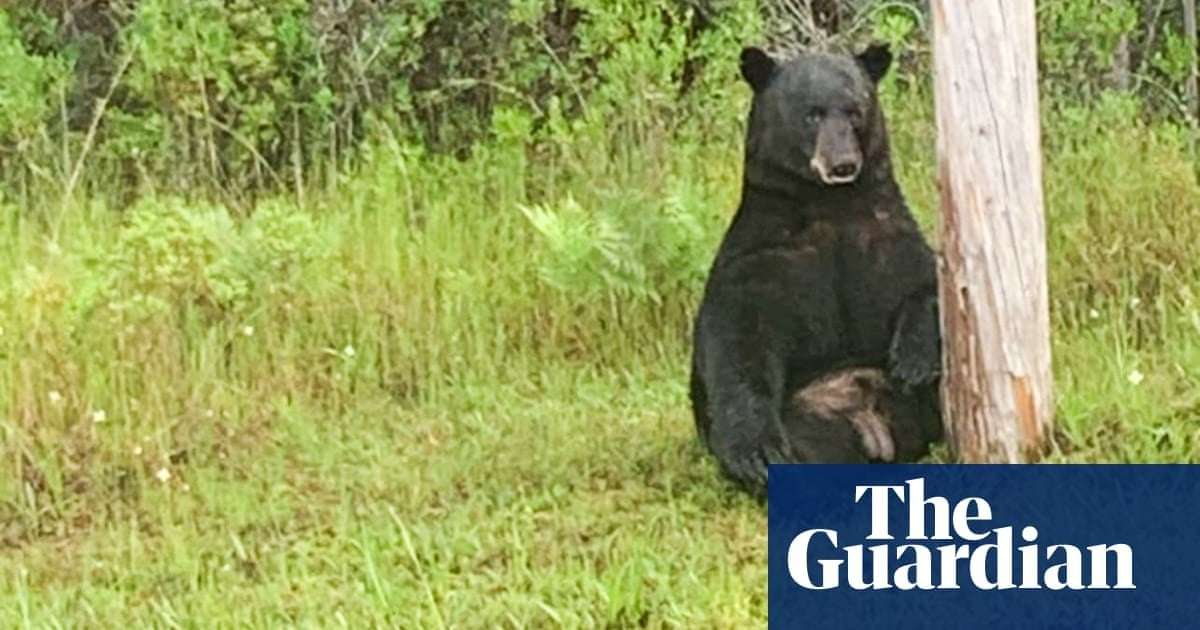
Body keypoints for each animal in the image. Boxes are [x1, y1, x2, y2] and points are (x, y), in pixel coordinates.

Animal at [689, 44, 943, 495]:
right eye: (812, 114)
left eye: (855, 110)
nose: (842, 164)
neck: (830, 205)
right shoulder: (763, 258)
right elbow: (738, 341)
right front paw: (756, 454)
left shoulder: (886, 237)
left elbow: (926, 282)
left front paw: (912, 360)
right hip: (809, 420)